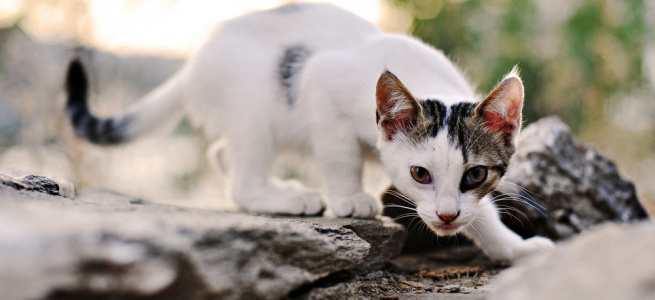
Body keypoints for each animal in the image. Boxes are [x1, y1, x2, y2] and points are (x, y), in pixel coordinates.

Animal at [64, 2, 552, 262]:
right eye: (420, 174)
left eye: (475, 175)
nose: (447, 216)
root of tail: (194, 64)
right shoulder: (322, 84)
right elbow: (339, 154)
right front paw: (349, 197)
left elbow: (482, 211)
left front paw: (511, 247)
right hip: (256, 103)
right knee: (242, 176)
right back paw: (285, 196)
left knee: (222, 153)